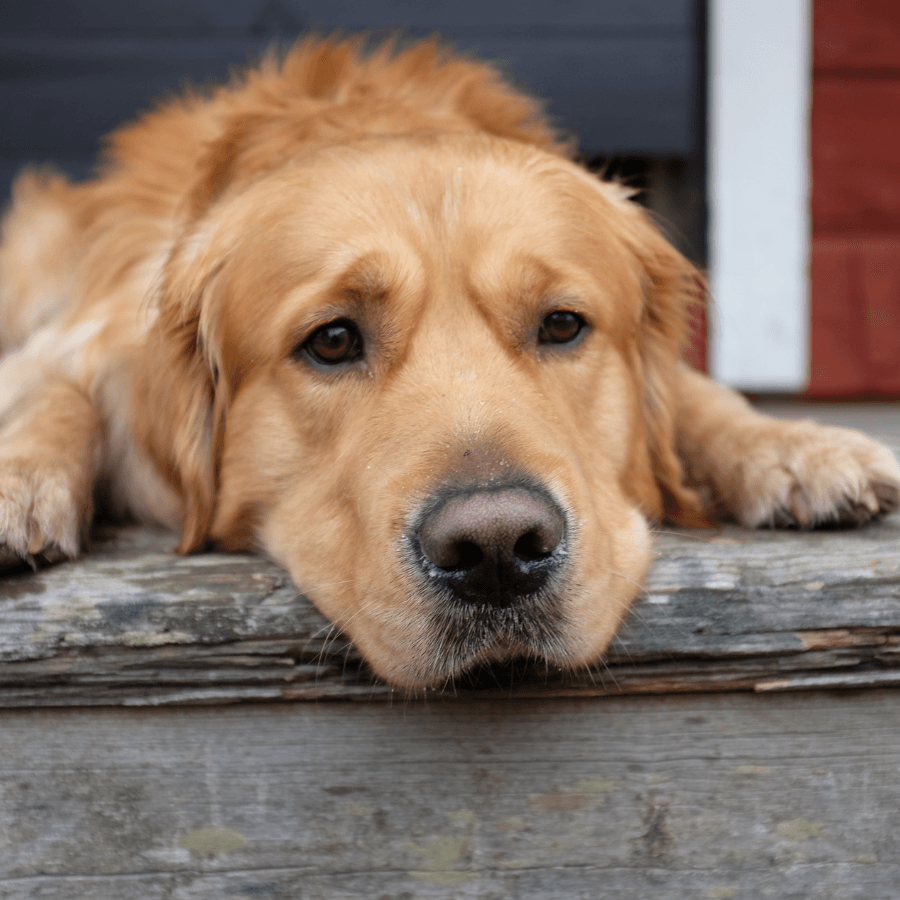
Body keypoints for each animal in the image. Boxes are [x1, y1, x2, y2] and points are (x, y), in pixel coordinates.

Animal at [5, 31, 900, 684]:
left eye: (563, 325)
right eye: (332, 340)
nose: (498, 549)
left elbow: (695, 394)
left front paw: (795, 448)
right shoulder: (79, 336)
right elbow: (57, 389)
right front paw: (21, 476)